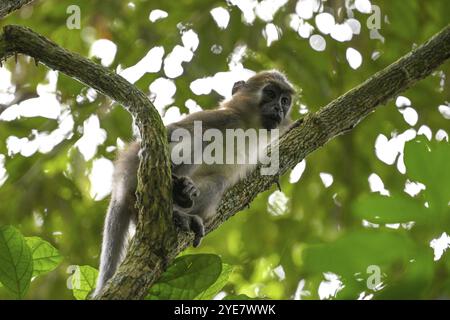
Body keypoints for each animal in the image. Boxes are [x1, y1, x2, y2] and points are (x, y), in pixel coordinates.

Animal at [92, 69, 296, 296]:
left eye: (285, 100)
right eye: (270, 93)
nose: (279, 108)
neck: (248, 126)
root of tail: (119, 185)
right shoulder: (224, 117)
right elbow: (173, 130)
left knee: (218, 182)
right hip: (134, 175)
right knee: (199, 138)